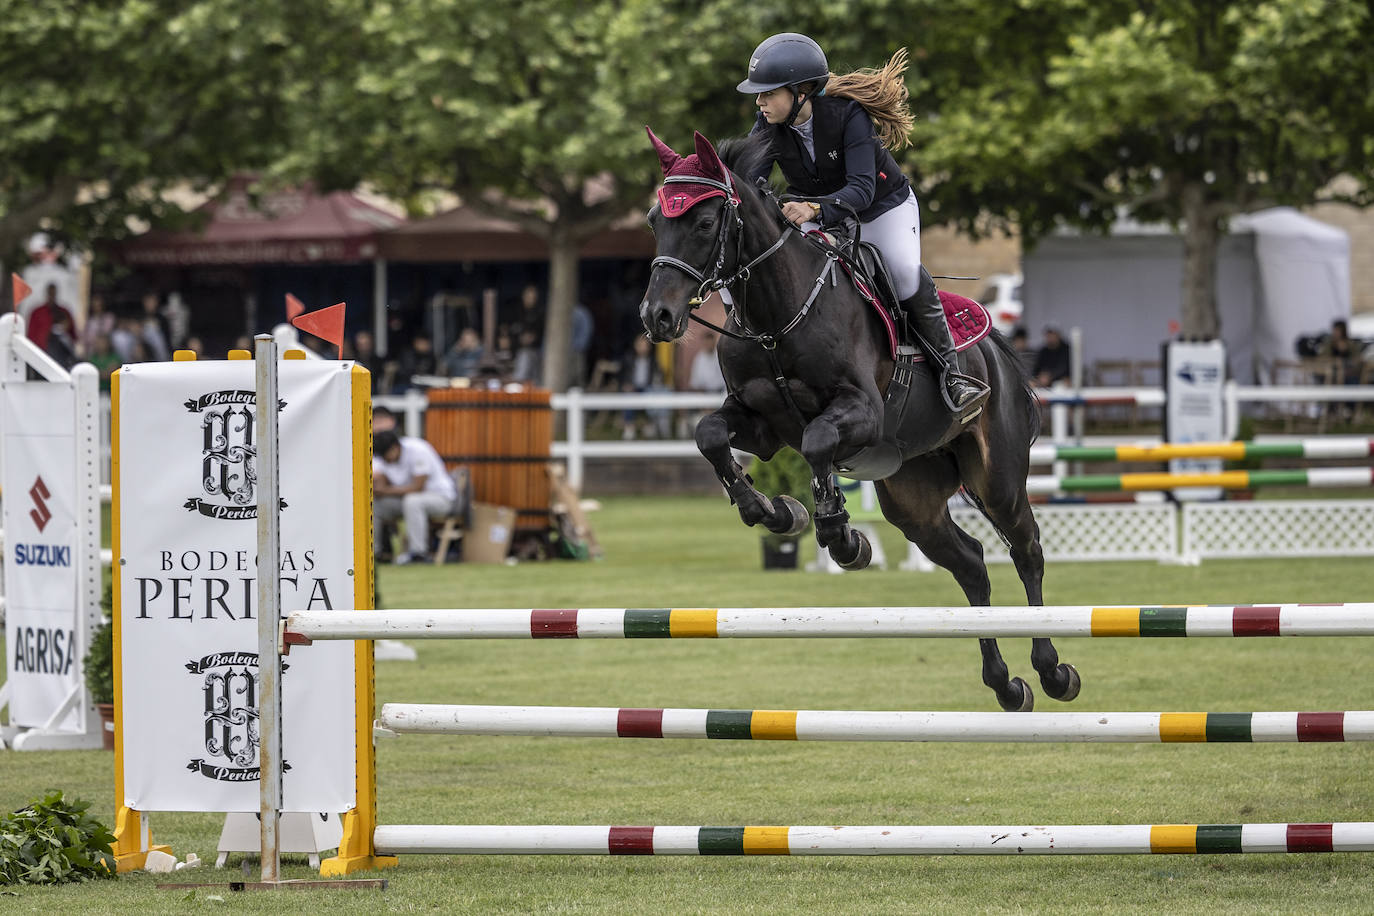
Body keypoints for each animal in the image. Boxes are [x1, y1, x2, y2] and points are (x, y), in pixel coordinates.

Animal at [637, 130, 1077, 714]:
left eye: (706, 223)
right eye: (653, 221)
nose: (657, 318)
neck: (777, 316)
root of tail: (997, 350)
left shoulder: (862, 413)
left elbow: (819, 440)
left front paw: (841, 536)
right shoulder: (761, 424)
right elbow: (709, 434)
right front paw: (776, 513)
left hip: (998, 478)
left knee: (1026, 550)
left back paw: (1052, 670)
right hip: (913, 498)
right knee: (971, 563)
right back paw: (1006, 684)